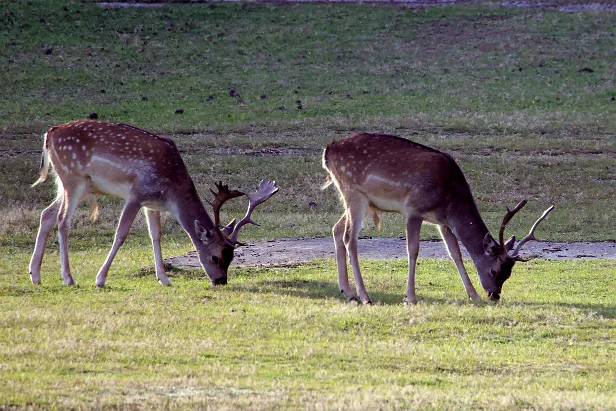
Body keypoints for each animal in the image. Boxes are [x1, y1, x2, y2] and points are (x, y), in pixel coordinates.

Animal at [29, 120, 280, 288]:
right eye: (215, 257)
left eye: (232, 257)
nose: (221, 281)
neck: (171, 191)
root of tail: (49, 134)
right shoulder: (136, 195)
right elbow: (121, 234)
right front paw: (100, 279)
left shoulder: (152, 203)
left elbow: (156, 236)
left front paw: (164, 279)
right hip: (74, 179)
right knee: (62, 221)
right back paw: (68, 278)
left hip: (69, 183)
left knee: (46, 214)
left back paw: (35, 275)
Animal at [322, 134, 552, 304]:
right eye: (494, 270)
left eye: (509, 274)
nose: (494, 295)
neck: (450, 196)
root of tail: (327, 152)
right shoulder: (414, 209)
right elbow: (413, 250)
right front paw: (410, 297)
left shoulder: (443, 222)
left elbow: (455, 254)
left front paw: (473, 295)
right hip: (354, 193)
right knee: (349, 238)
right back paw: (364, 296)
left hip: (359, 199)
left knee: (336, 229)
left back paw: (348, 292)